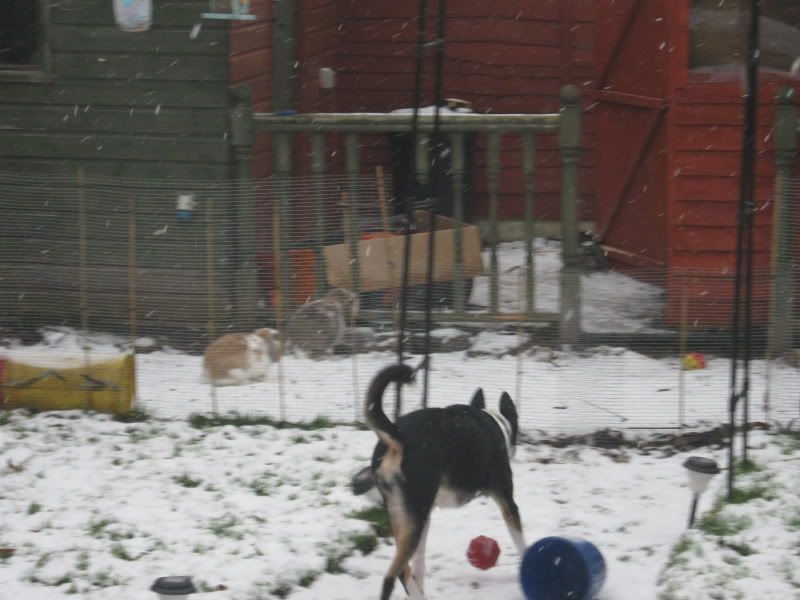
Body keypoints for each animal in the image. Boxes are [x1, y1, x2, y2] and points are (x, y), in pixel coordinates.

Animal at [358, 364, 524, 596]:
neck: (498, 423)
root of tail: (398, 436)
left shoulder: (426, 514)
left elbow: (419, 565)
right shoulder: (508, 503)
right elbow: (522, 544)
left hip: (408, 515)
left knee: (407, 570)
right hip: (415, 518)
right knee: (393, 576)